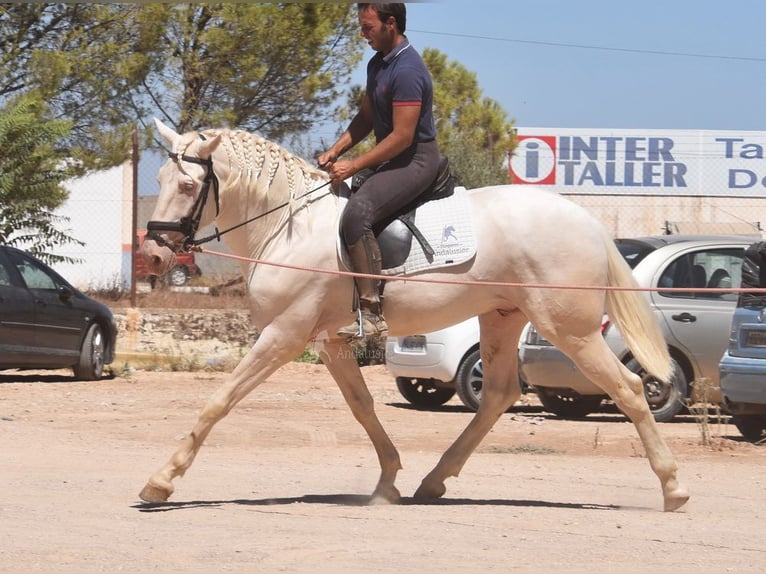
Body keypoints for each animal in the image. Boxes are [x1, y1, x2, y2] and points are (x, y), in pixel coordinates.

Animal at [140, 118, 696, 512]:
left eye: (188, 187)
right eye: (161, 177)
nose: (153, 256)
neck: (288, 227)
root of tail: (585, 219)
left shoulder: (284, 335)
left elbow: (219, 401)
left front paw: (161, 482)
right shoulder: (330, 342)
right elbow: (363, 407)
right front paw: (388, 482)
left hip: (570, 330)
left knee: (628, 387)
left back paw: (674, 489)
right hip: (503, 317)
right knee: (498, 395)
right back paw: (434, 481)